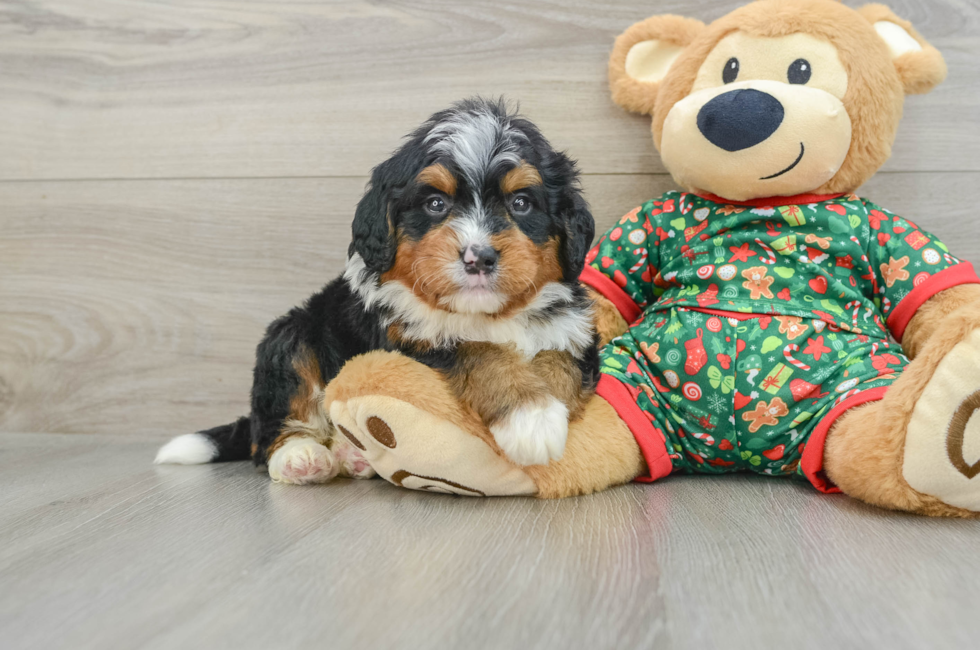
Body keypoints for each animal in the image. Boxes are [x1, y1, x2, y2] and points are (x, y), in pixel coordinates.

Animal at [154, 98, 600, 484]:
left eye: (521, 203)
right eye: (435, 204)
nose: (479, 258)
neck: (486, 314)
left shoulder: (573, 329)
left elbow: (560, 361)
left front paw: (550, 410)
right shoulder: (409, 339)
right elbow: (480, 351)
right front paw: (530, 417)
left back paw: (353, 455)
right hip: (289, 340)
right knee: (269, 434)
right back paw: (302, 457)